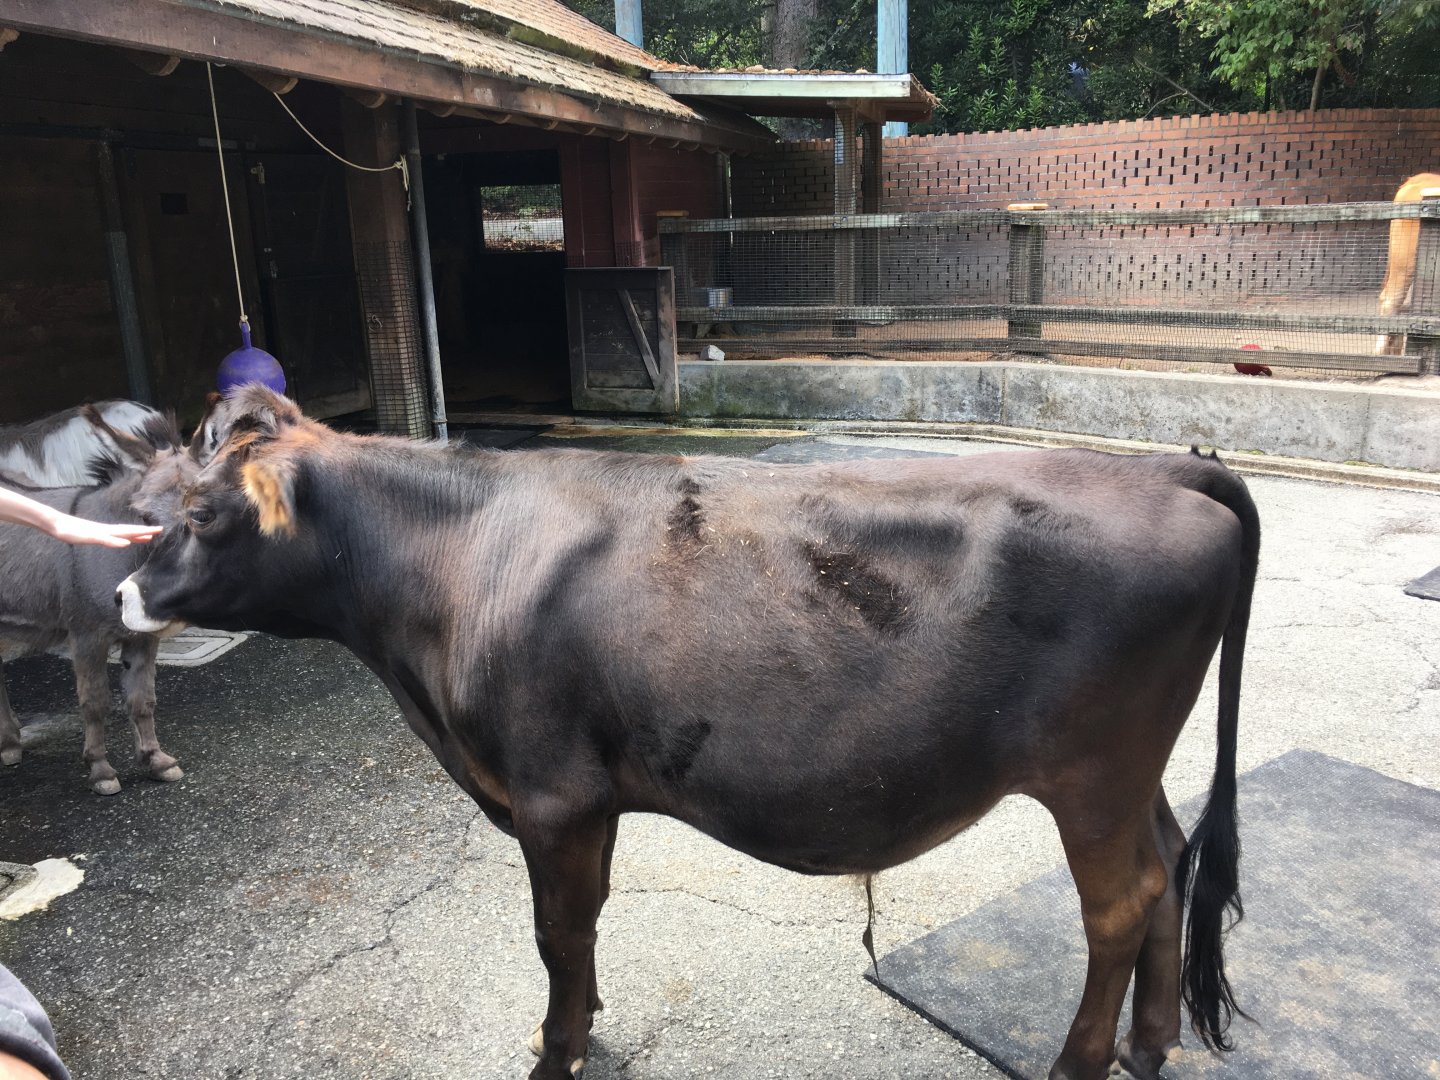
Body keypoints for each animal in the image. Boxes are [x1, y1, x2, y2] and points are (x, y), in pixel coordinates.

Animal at [1, 410, 193, 794]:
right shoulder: (86, 636)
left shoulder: (142, 638)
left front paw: (156, 760)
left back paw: (10, 743)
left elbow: (142, 699)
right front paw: (101, 770)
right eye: (145, 519)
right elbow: (94, 703)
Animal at [119, 387, 1259, 1080]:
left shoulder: (552, 792)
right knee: (1167, 862)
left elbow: (556, 934)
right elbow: (582, 926)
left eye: (205, 515)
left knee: (1120, 904)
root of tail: (1162, 469)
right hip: (1131, 769)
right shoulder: (590, 798)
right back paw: (1149, 1046)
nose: (125, 591)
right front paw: (582, 1029)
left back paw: (1081, 1061)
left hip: (1092, 770)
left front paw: (556, 1051)